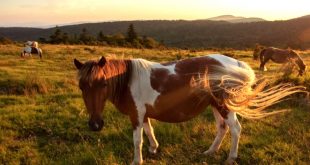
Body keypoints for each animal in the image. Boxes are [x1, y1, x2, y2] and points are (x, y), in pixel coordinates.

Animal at [73, 54, 306, 164]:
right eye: (82, 86)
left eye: (103, 84)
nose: (95, 125)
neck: (128, 79)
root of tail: (237, 64)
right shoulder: (142, 114)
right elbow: (150, 130)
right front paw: (154, 148)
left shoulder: (136, 115)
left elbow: (137, 139)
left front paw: (137, 160)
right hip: (215, 105)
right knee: (222, 128)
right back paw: (210, 152)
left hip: (223, 105)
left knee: (235, 129)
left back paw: (231, 157)